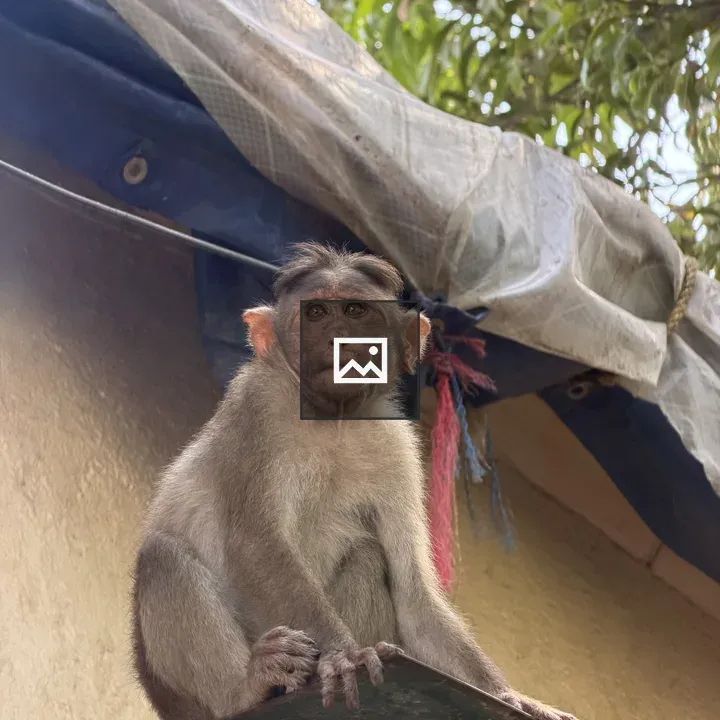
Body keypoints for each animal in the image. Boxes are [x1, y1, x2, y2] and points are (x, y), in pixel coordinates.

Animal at [132, 242, 577, 720]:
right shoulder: (256, 403)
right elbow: (255, 541)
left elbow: (412, 590)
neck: (333, 420)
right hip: (183, 694)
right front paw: (343, 654)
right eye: (316, 313)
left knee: (367, 556)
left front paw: (510, 695)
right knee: (161, 559)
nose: (337, 338)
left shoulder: (395, 446)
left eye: (357, 311)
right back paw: (245, 689)